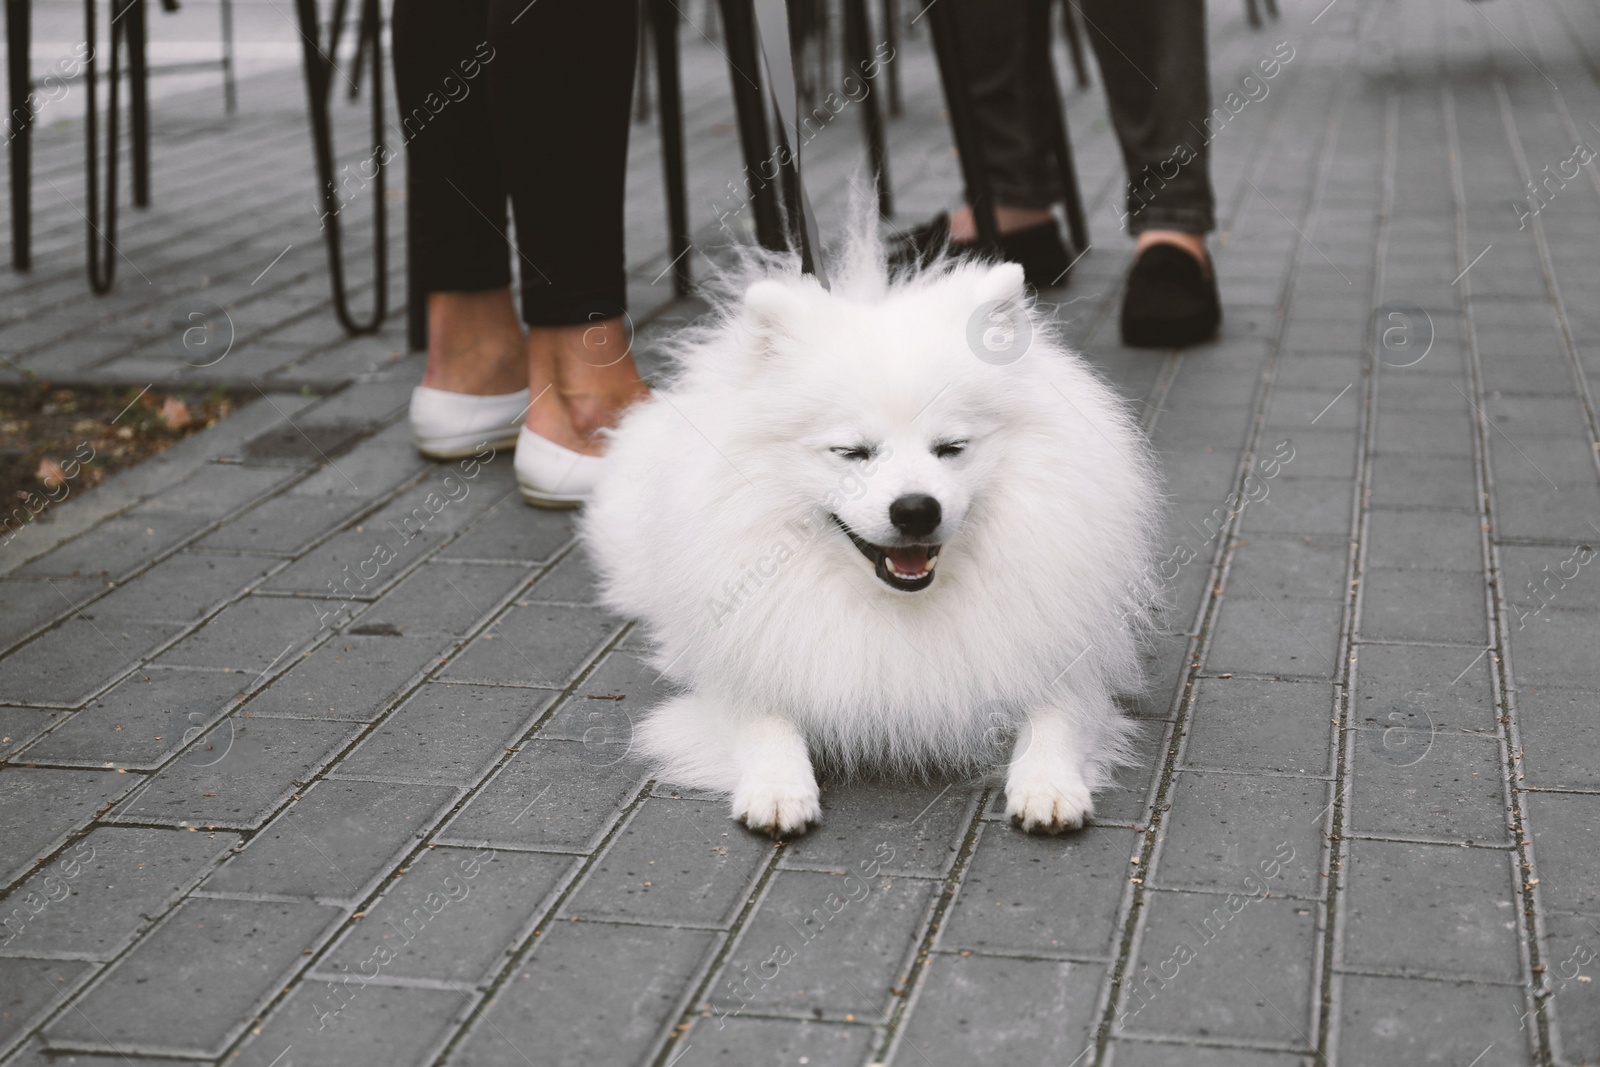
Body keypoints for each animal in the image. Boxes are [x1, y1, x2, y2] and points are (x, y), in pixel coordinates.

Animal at [585, 230, 1164, 838]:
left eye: (951, 447)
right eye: (852, 452)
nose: (915, 510)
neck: (893, 606)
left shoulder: (1059, 657)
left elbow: (1058, 717)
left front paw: (1048, 785)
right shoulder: (745, 665)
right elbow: (765, 721)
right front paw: (777, 788)